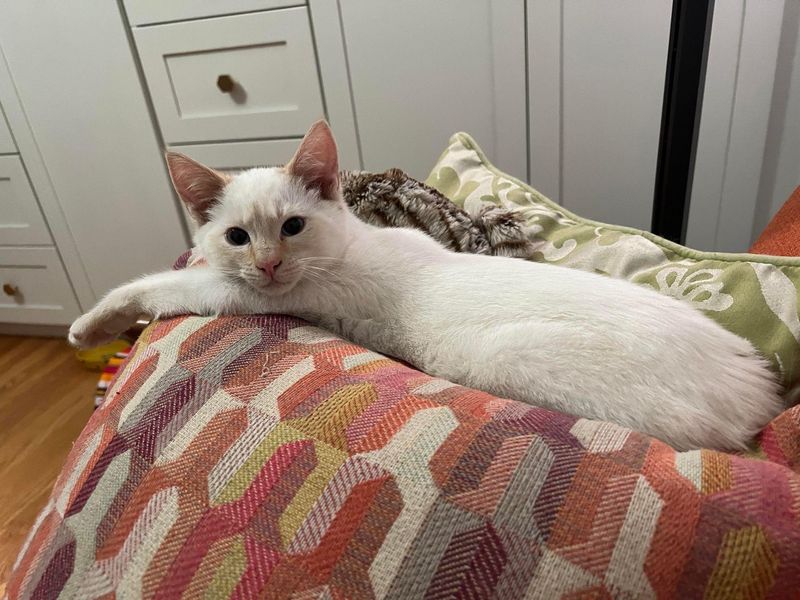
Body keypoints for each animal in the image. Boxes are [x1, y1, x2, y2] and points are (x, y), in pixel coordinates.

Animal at [69, 120, 780, 450]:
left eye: (292, 227)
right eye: (240, 236)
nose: (268, 264)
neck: (353, 242)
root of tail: (758, 391)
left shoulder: (269, 295)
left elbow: (172, 284)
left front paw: (90, 323)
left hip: (513, 357)